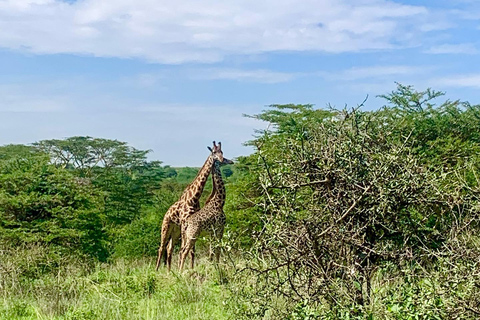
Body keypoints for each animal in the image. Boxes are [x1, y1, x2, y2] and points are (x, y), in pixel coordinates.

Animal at [154, 141, 229, 272]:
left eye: (222, 152)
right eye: (214, 152)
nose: (223, 159)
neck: (193, 197)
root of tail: (167, 212)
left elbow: (201, 251)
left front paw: (193, 269)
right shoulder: (214, 227)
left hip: (176, 231)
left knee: (170, 248)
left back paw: (169, 271)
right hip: (168, 227)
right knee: (163, 248)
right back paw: (158, 270)